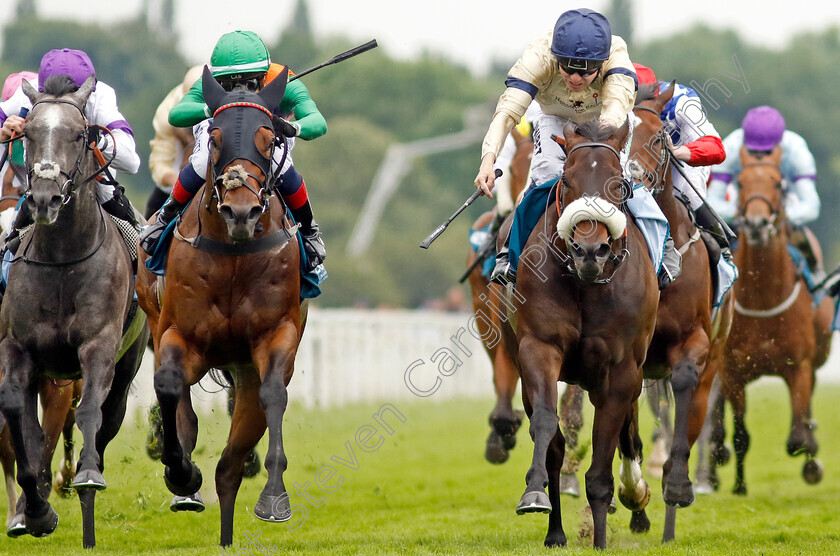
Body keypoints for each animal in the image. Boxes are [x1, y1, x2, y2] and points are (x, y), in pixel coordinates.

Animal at [0, 74, 148, 548]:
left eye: (81, 135)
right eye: (28, 134)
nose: (45, 198)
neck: (63, 259)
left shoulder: (98, 347)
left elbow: (89, 413)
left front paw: (84, 477)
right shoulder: (19, 349)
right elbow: (19, 422)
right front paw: (34, 510)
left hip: (129, 361)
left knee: (107, 416)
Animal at [136, 66, 306, 548]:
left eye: (269, 138)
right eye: (213, 138)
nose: (241, 211)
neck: (234, 254)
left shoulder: (275, 336)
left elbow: (274, 393)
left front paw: (274, 497)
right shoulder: (179, 334)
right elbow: (169, 386)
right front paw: (180, 474)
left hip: (243, 368)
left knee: (229, 464)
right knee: (183, 409)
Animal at [708, 147, 832, 490]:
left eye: (778, 183)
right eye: (740, 181)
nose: (756, 224)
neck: (763, 299)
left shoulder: (799, 366)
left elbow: (797, 436)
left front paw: (812, 459)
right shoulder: (733, 370)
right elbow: (740, 435)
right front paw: (738, 485)